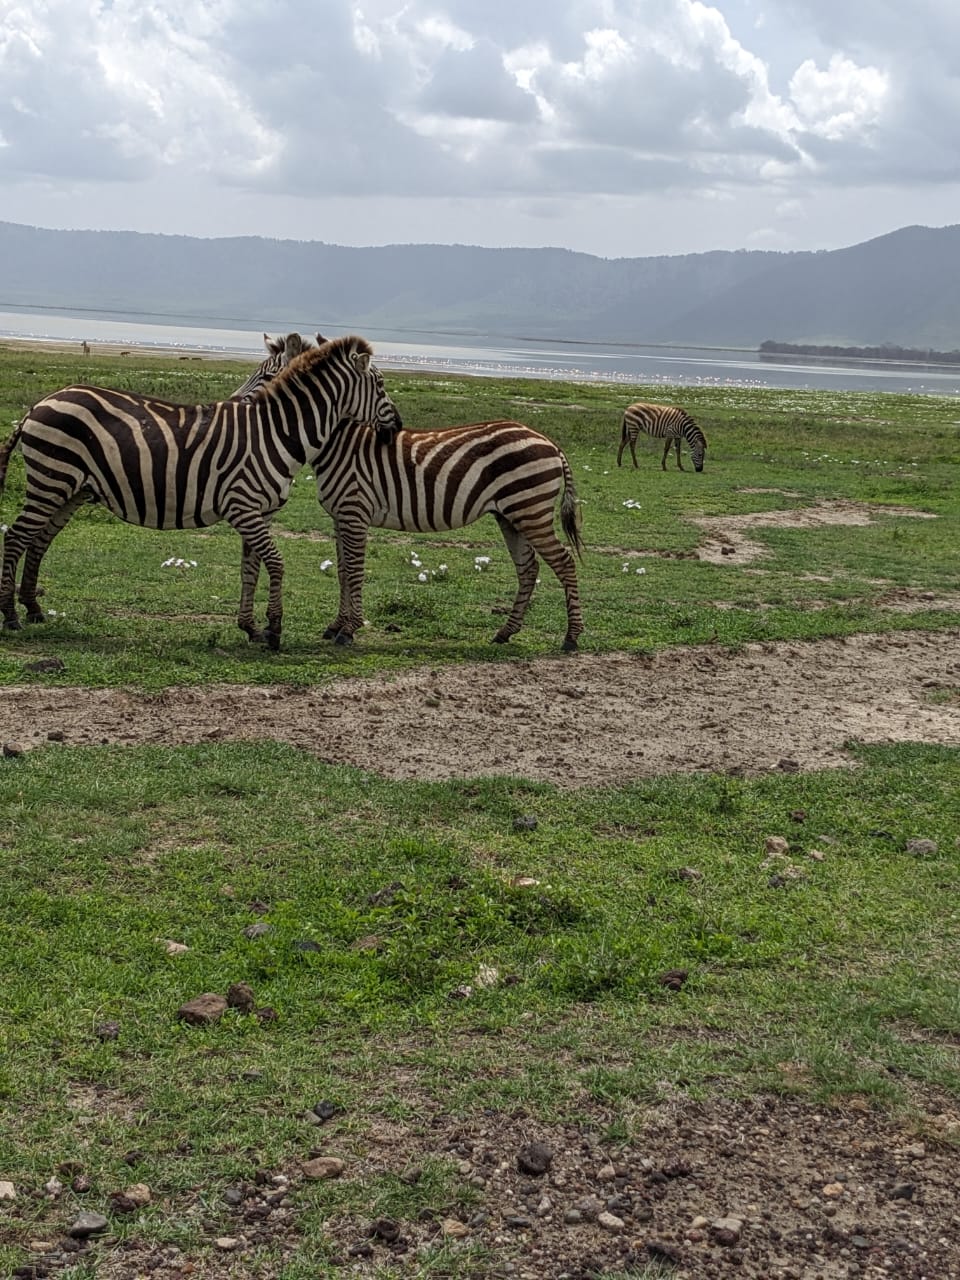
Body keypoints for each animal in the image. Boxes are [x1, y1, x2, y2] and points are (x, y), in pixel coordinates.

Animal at [0, 335, 402, 649]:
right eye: (381, 385)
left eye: (265, 374)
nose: (397, 425)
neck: (275, 431)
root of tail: (38, 404)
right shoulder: (244, 507)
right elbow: (276, 563)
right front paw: (273, 629)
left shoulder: (258, 512)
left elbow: (249, 568)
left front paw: (251, 628)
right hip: (51, 479)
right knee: (17, 537)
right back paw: (10, 616)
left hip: (69, 488)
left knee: (39, 541)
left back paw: (33, 609)